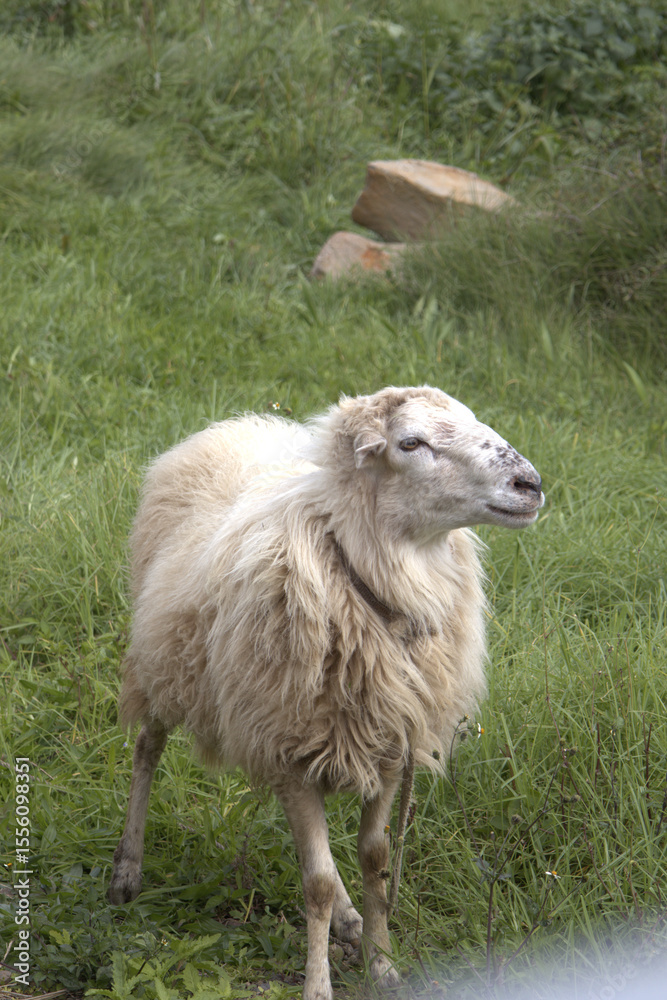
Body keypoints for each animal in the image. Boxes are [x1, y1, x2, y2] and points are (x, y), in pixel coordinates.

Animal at [109, 385, 544, 1000]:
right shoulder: (290, 750)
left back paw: (348, 918)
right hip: (167, 666)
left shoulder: (390, 747)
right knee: (147, 749)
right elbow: (313, 881)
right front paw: (318, 984)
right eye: (411, 443)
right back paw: (126, 872)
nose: (529, 484)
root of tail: (237, 426)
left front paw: (382, 964)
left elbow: (376, 860)